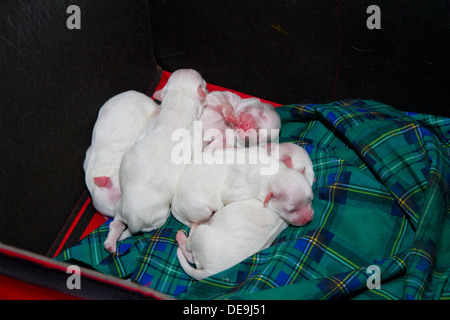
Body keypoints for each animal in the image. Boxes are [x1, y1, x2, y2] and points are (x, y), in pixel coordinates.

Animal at [104, 69, 207, 254]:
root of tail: (133, 217)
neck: (177, 105)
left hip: (119, 207)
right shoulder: (196, 138)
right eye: (203, 82)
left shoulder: (148, 127)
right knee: (140, 229)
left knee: (116, 224)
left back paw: (111, 243)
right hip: (159, 217)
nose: (207, 84)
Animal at [171, 146, 314, 229]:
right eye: (291, 210)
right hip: (198, 209)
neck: (275, 172)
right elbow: (228, 197)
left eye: (311, 200)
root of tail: (173, 207)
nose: (309, 219)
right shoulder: (239, 189)